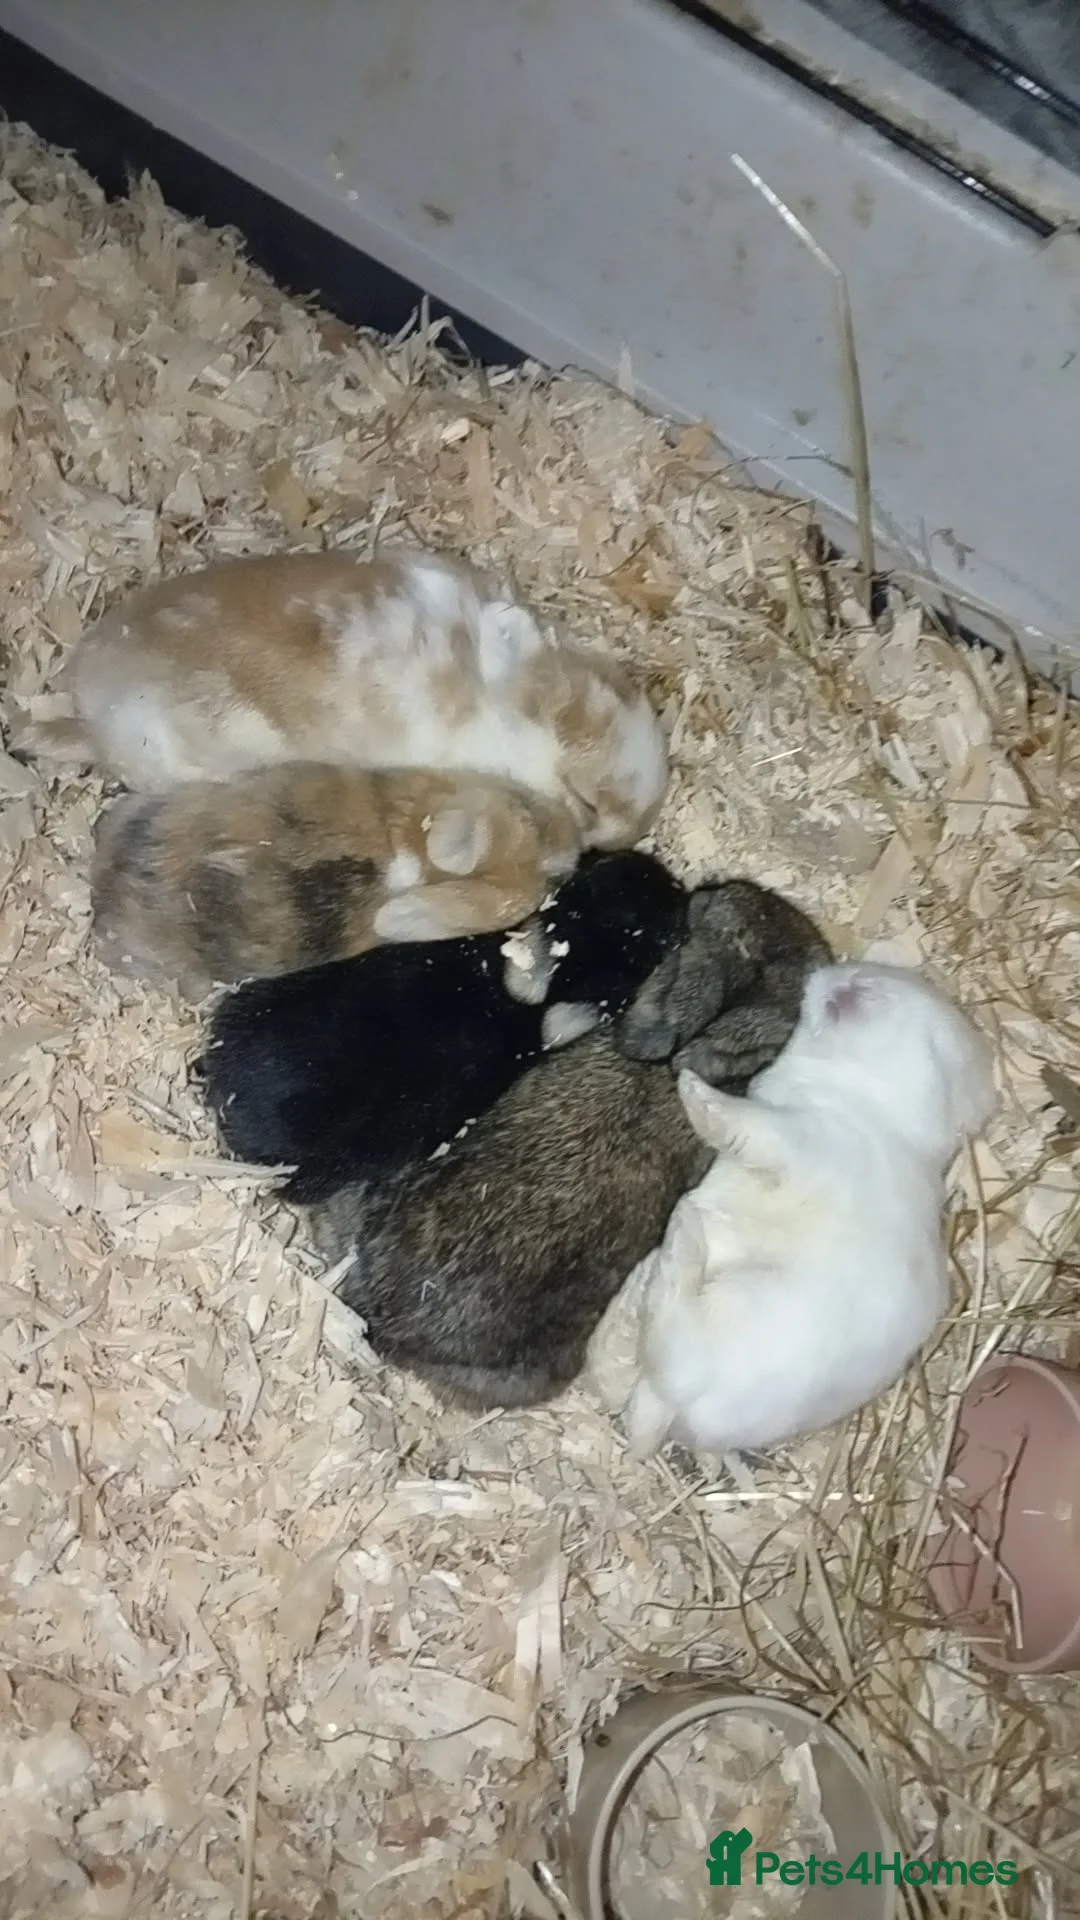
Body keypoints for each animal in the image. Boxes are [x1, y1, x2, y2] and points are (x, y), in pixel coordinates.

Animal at [622, 961, 999, 1461]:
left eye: (870, 988)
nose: (830, 973)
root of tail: (689, 1409)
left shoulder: (796, 1137)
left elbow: (741, 1124)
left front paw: (692, 1087)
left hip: (736, 1301)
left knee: (674, 1341)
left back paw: (681, 1235)